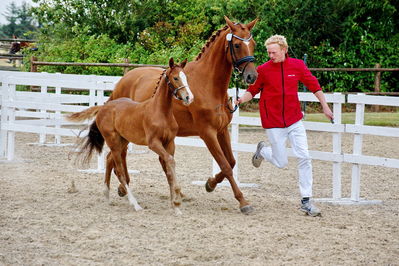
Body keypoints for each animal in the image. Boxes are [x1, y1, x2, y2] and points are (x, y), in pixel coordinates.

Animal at [68, 58, 195, 214]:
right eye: (175, 78)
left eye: (186, 77)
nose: (189, 97)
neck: (161, 112)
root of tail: (104, 107)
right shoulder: (153, 143)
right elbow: (170, 161)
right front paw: (176, 200)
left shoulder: (169, 143)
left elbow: (169, 168)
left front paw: (175, 206)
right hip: (113, 141)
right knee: (119, 170)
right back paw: (135, 204)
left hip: (123, 140)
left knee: (109, 160)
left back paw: (107, 195)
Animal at [109, 16, 260, 214]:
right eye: (236, 45)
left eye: (253, 44)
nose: (251, 76)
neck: (209, 84)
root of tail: (123, 80)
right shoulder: (207, 133)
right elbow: (225, 165)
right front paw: (243, 202)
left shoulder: (222, 131)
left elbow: (232, 162)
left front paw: (210, 184)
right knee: (120, 155)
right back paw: (123, 186)